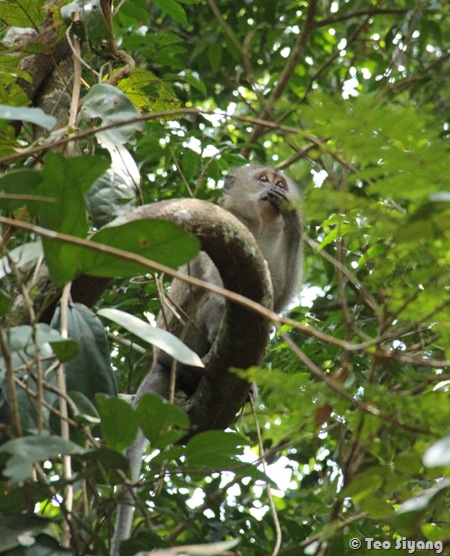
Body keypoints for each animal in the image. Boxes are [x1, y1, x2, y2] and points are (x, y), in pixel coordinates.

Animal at [110, 165, 302, 555]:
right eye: (262, 178)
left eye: (279, 182)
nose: (274, 188)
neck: (255, 224)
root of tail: (161, 361)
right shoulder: (225, 228)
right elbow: (221, 292)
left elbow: (274, 302)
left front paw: (293, 215)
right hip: (183, 343)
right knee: (209, 301)